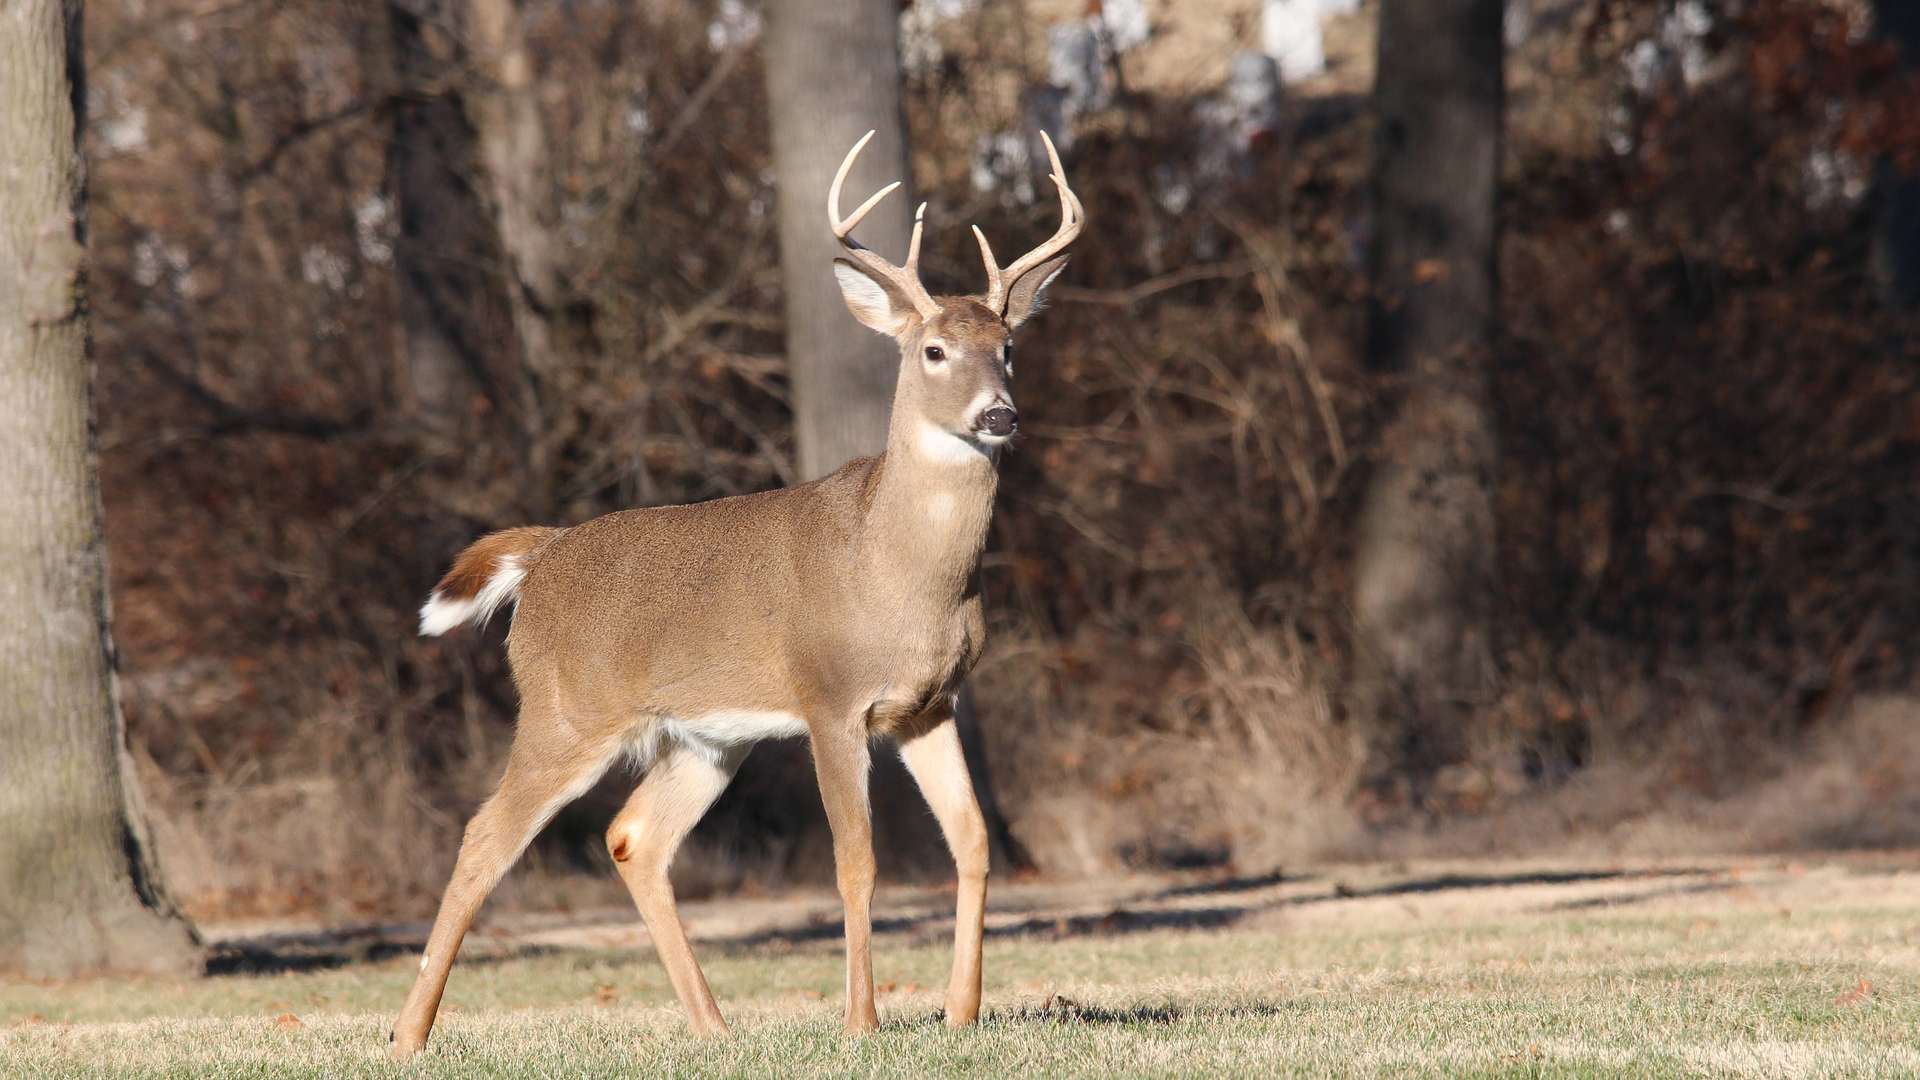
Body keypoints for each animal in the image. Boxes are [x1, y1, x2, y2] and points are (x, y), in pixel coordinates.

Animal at [389, 130, 1083, 1057]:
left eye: (1009, 347)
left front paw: (960, 1012)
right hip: (565, 712)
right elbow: (856, 861)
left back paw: (713, 1027)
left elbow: (971, 841)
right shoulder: (830, 699)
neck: (903, 576)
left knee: (633, 836)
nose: (999, 414)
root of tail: (541, 557)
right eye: (933, 350)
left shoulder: (931, 704)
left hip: (707, 737)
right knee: (483, 837)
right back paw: (408, 1035)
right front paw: (862, 1023)